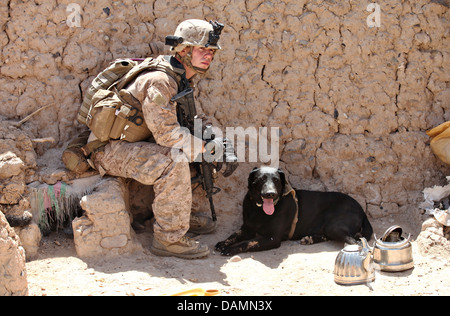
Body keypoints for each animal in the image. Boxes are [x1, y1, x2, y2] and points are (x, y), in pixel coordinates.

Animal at [215, 167, 372, 256]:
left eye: (276, 180)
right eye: (261, 179)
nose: (270, 194)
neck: (258, 209)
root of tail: (361, 209)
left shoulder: (273, 238)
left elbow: (248, 243)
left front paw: (231, 249)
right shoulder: (247, 229)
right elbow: (234, 235)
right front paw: (223, 243)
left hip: (335, 226)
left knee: (356, 241)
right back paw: (310, 239)